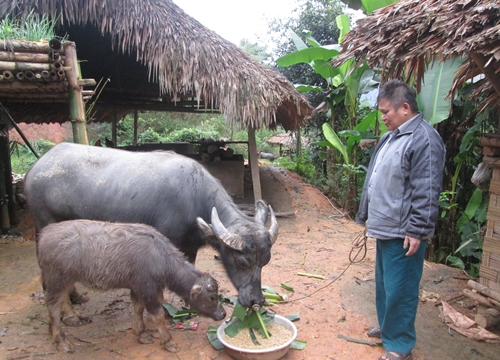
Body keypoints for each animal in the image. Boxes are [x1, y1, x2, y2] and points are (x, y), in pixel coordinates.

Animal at [25, 142, 280, 308]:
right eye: (243, 261)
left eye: (265, 261)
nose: (256, 301)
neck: (193, 198)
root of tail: (34, 169)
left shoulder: (190, 247)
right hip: (45, 224)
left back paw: (76, 298)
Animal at [38, 219, 226, 352]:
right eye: (212, 297)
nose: (223, 313)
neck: (160, 258)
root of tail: (45, 234)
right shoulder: (148, 289)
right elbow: (157, 315)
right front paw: (168, 341)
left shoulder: (137, 288)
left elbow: (138, 309)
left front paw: (141, 334)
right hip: (57, 281)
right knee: (53, 308)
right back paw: (61, 341)